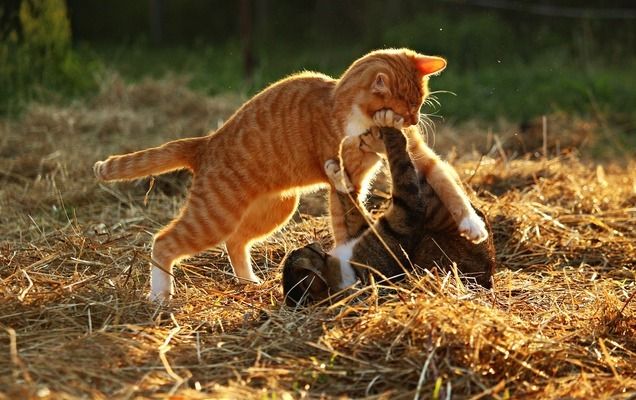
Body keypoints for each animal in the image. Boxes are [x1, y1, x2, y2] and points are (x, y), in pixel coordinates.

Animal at [284, 124, 496, 306]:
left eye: (303, 248)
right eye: (309, 249)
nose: (314, 243)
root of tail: (489, 279)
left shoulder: (361, 227)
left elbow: (351, 203)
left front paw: (336, 173)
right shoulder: (405, 213)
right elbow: (400, 162)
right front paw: (389, 131)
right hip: (433, 211)